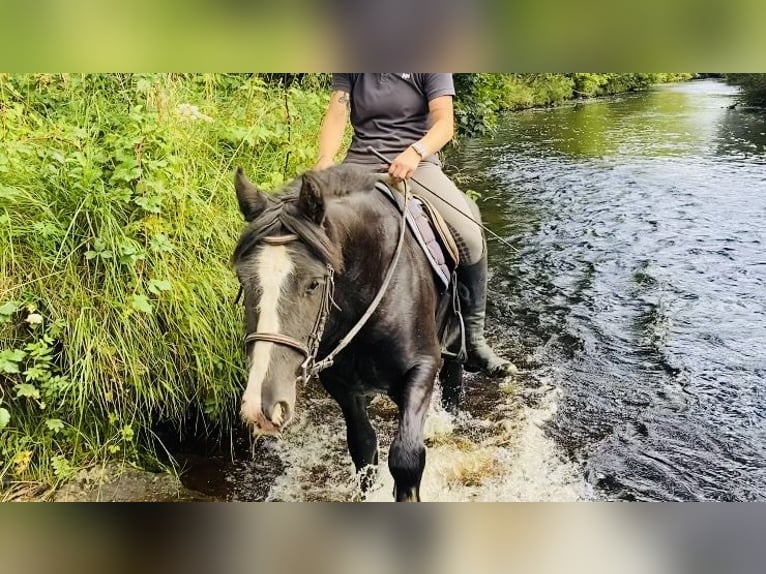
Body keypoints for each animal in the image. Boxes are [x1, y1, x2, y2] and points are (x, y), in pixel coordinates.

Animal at [231, 164, 464, 502]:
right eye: (243, 279)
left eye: (313, 283)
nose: (262, 407)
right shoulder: (342, 384)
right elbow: (364, 450)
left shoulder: (422, 367)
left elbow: (406, 457)